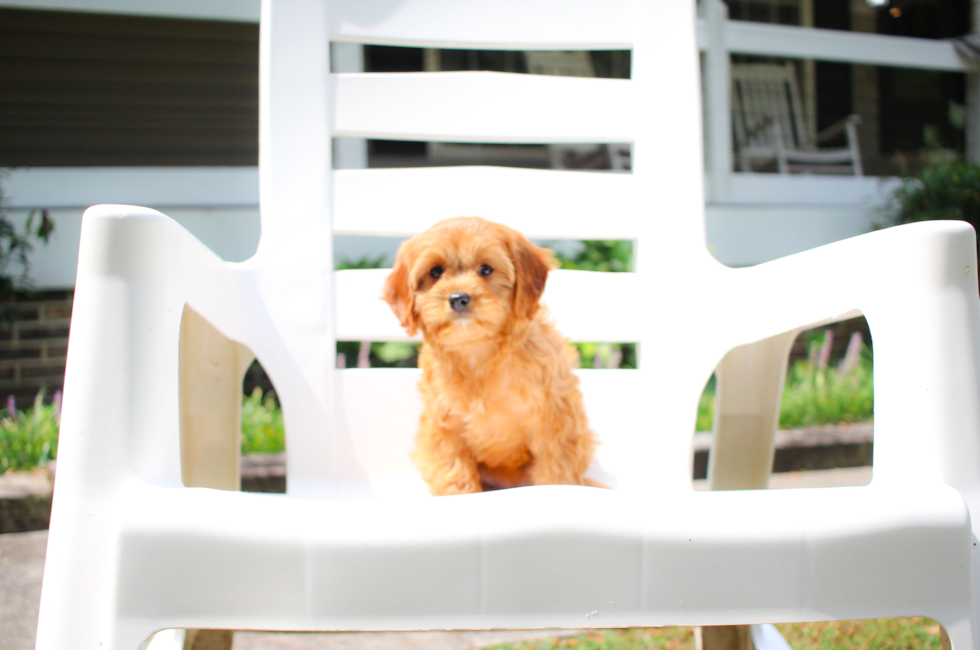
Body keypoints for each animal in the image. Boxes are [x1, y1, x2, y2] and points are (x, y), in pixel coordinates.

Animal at [382, 215, 596, 494]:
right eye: (435, 272)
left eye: (485, 269)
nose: (458, 298)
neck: (478, 351)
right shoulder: (444, 427)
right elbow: (455, 475)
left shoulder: (555, 420)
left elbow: (556, 472)